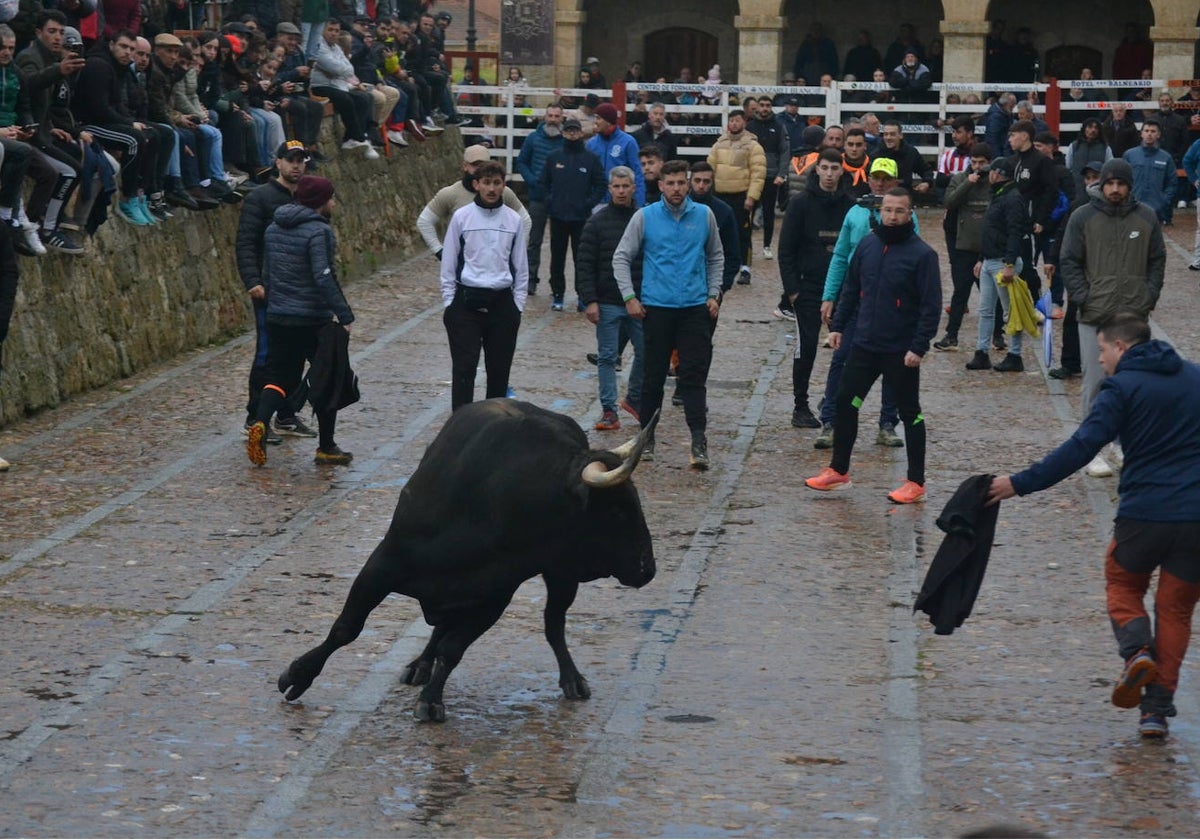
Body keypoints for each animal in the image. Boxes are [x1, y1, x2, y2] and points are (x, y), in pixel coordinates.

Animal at [277, 400, 662, 720]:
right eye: (615, 511)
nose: (648, 568)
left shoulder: (493, 595)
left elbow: (453, 649)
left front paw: (431, 699)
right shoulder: (383, 564)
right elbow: (346, 628)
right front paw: (298, 674)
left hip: (561, 574)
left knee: (553, 623)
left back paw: (571, 679)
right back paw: (420, 664)